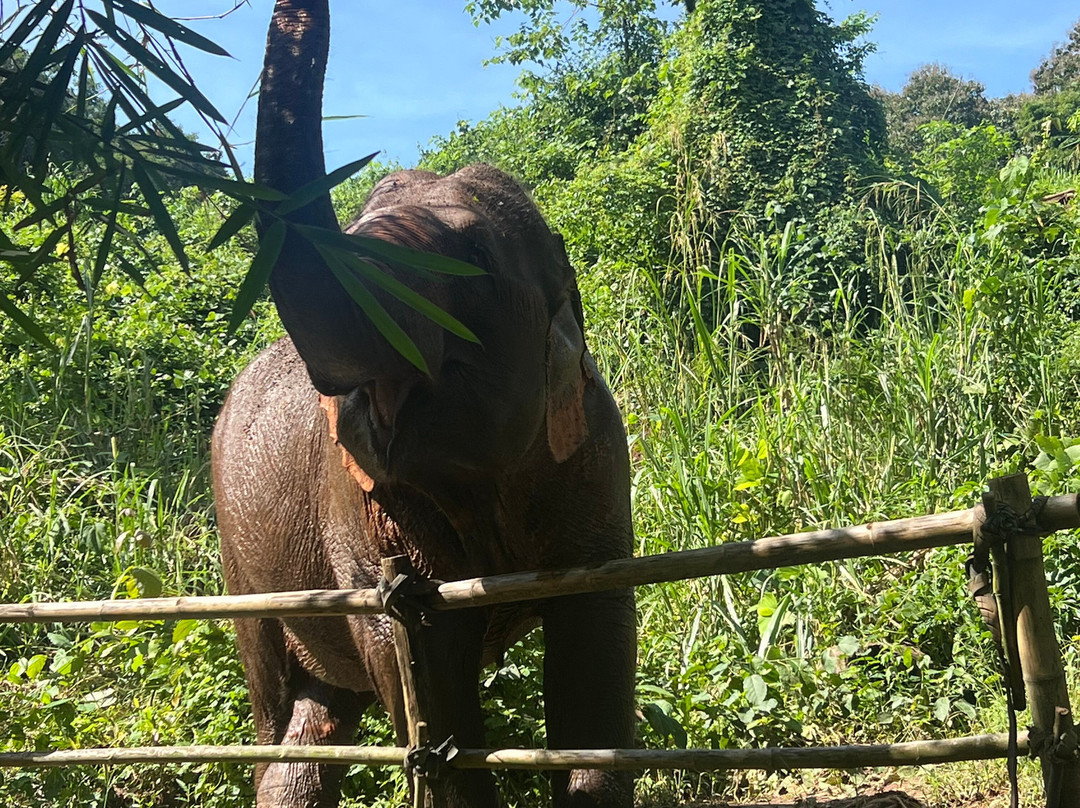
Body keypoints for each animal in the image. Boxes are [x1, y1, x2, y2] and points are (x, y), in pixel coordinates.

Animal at [210, 2, 637, 807]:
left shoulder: (597, 454)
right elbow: (419, 659)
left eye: (472, 265)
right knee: (276, 701)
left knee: (318, 721)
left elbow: (595, 638)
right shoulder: (352, 503)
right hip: (241, 565)